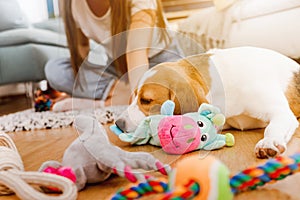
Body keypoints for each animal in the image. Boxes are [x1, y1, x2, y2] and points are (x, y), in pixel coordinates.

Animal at [115, 46, 300, 159]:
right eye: (133, 97)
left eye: (146, 100)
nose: (118, 123)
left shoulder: (282, 113)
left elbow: (272, 127)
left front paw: (269, 142)